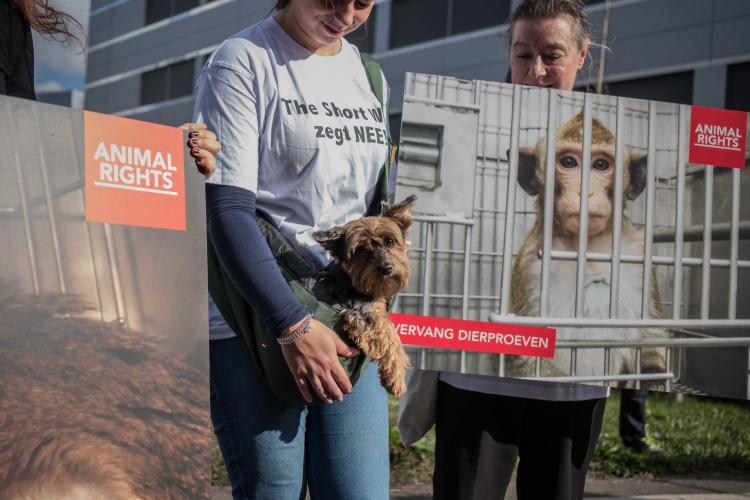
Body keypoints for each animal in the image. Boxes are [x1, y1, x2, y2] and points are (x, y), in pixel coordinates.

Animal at [312, 195, 417, 396]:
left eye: (390, 241)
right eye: (360, 249)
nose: (386, 268)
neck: (354, 282)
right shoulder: (360, 313)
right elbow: (390, 335)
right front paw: (396, 377)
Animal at [507, 112, 667, 387]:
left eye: (601, 165)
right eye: (569, 162)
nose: (585, 192)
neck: (588, 251)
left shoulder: (638, 255)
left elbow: (651, 341)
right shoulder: (531, 266)